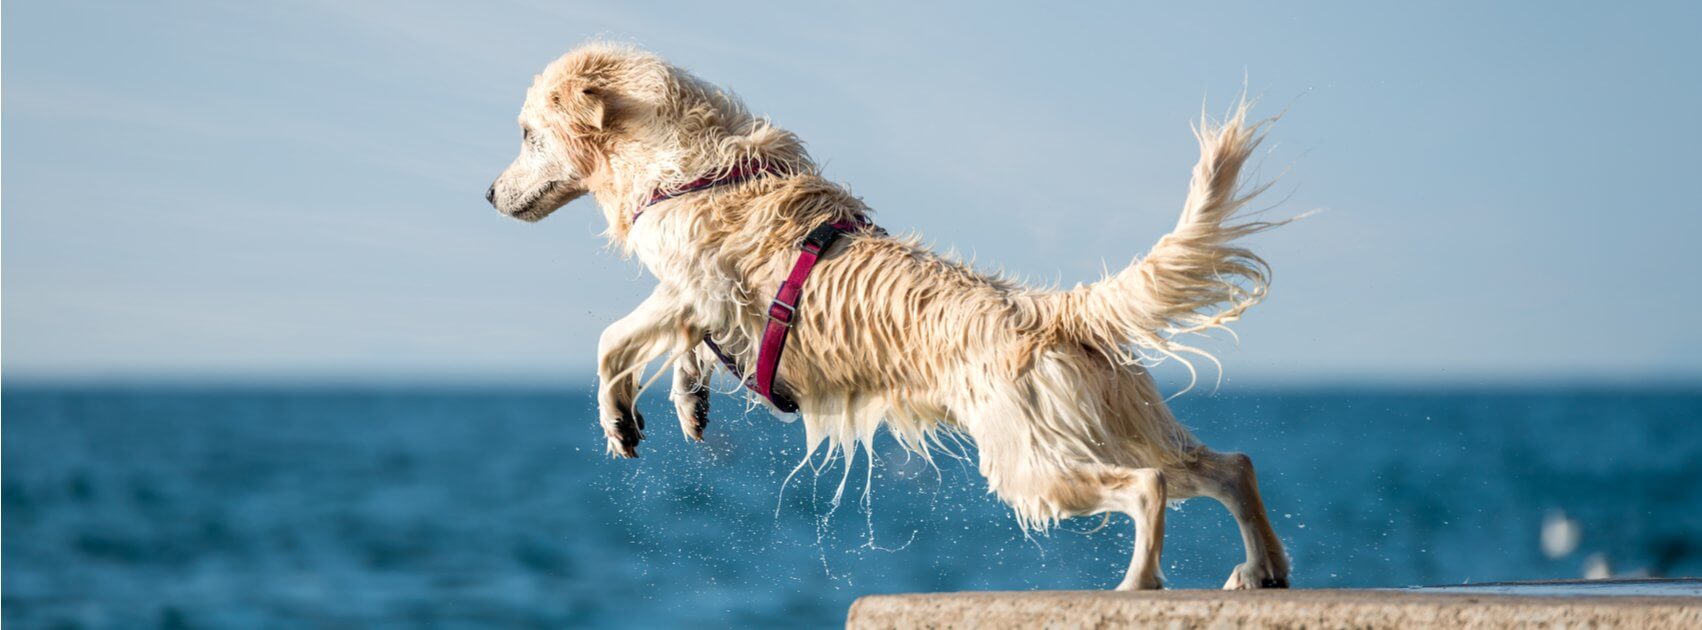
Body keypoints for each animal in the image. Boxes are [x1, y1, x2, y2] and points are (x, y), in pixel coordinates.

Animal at [490, 41, 1286, 589]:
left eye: (527, 134)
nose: (489, 195)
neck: (684, 162)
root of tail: (1051, 308)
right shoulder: (697, 300)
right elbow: (678, 348)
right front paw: (687, 405)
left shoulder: (698, 286)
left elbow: (611, 338)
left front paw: (617, 418)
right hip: (1109, 427)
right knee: (1230, 467)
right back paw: (1261, 570)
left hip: (1034, 464)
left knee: (1149, 487)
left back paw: (1137, 584)